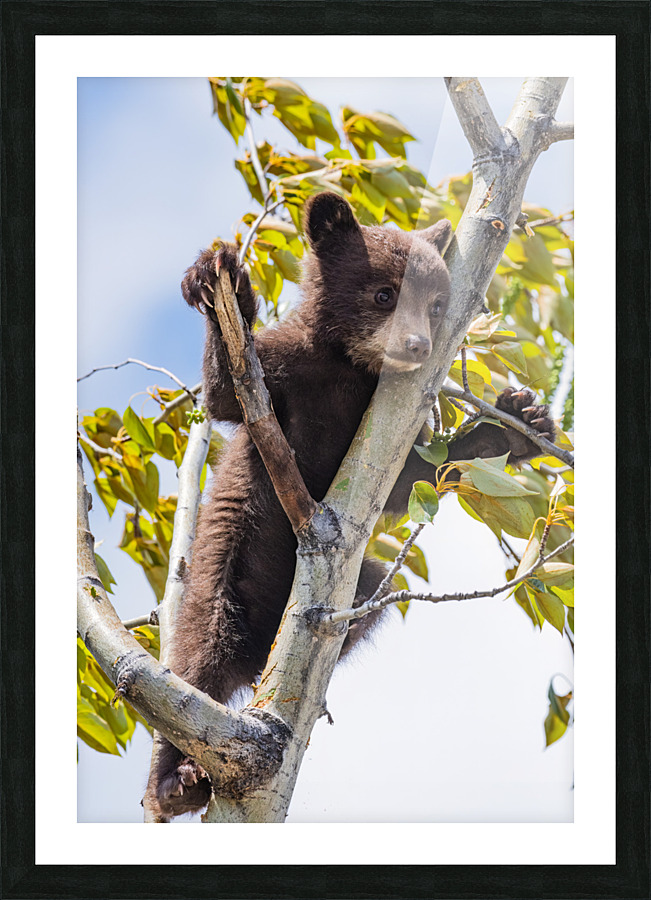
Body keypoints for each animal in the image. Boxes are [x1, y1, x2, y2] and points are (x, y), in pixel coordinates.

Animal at [147, 191, 554, 819]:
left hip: (355, 591)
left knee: (367, 600)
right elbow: (227, 392)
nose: (417, 345)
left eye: (436, 305)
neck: (348, 367)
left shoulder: (388, 421)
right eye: (384, 293)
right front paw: (221, 280)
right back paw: (176, 781)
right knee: (195, 667)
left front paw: (519, 423)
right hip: (222, 574)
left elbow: (412, 478)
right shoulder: (289, 371)